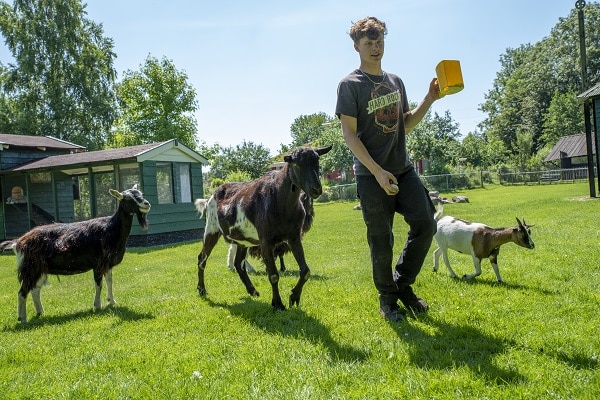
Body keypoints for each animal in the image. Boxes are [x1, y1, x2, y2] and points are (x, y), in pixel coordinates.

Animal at [0, 186, 150, 324]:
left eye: (140, 194)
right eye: (127, 198)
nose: (146, 204)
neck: (111, 228)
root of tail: (18, 242)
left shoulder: (107, 263)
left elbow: (109, 281)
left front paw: (112, 301)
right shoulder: (98, 263)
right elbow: (99, 283)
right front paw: (97, 305)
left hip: (40, 269)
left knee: (35, 290)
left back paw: (40, 311)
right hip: (30, 268)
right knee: (22, 292)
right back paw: (23, 319)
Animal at [195, 145, 330, 310]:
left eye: (317, 161)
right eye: (296, 164)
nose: (316, 189)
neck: (279, 199)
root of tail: (210, 197)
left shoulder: (293, 237)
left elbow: (305, 271)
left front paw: (293, 297)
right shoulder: (265, 240)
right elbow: (273, 275)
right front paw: (278, 304)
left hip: (242, 239)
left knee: (238, 264)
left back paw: (252, 290)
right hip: (211, 228)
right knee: (202, 258)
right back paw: (202, 290)